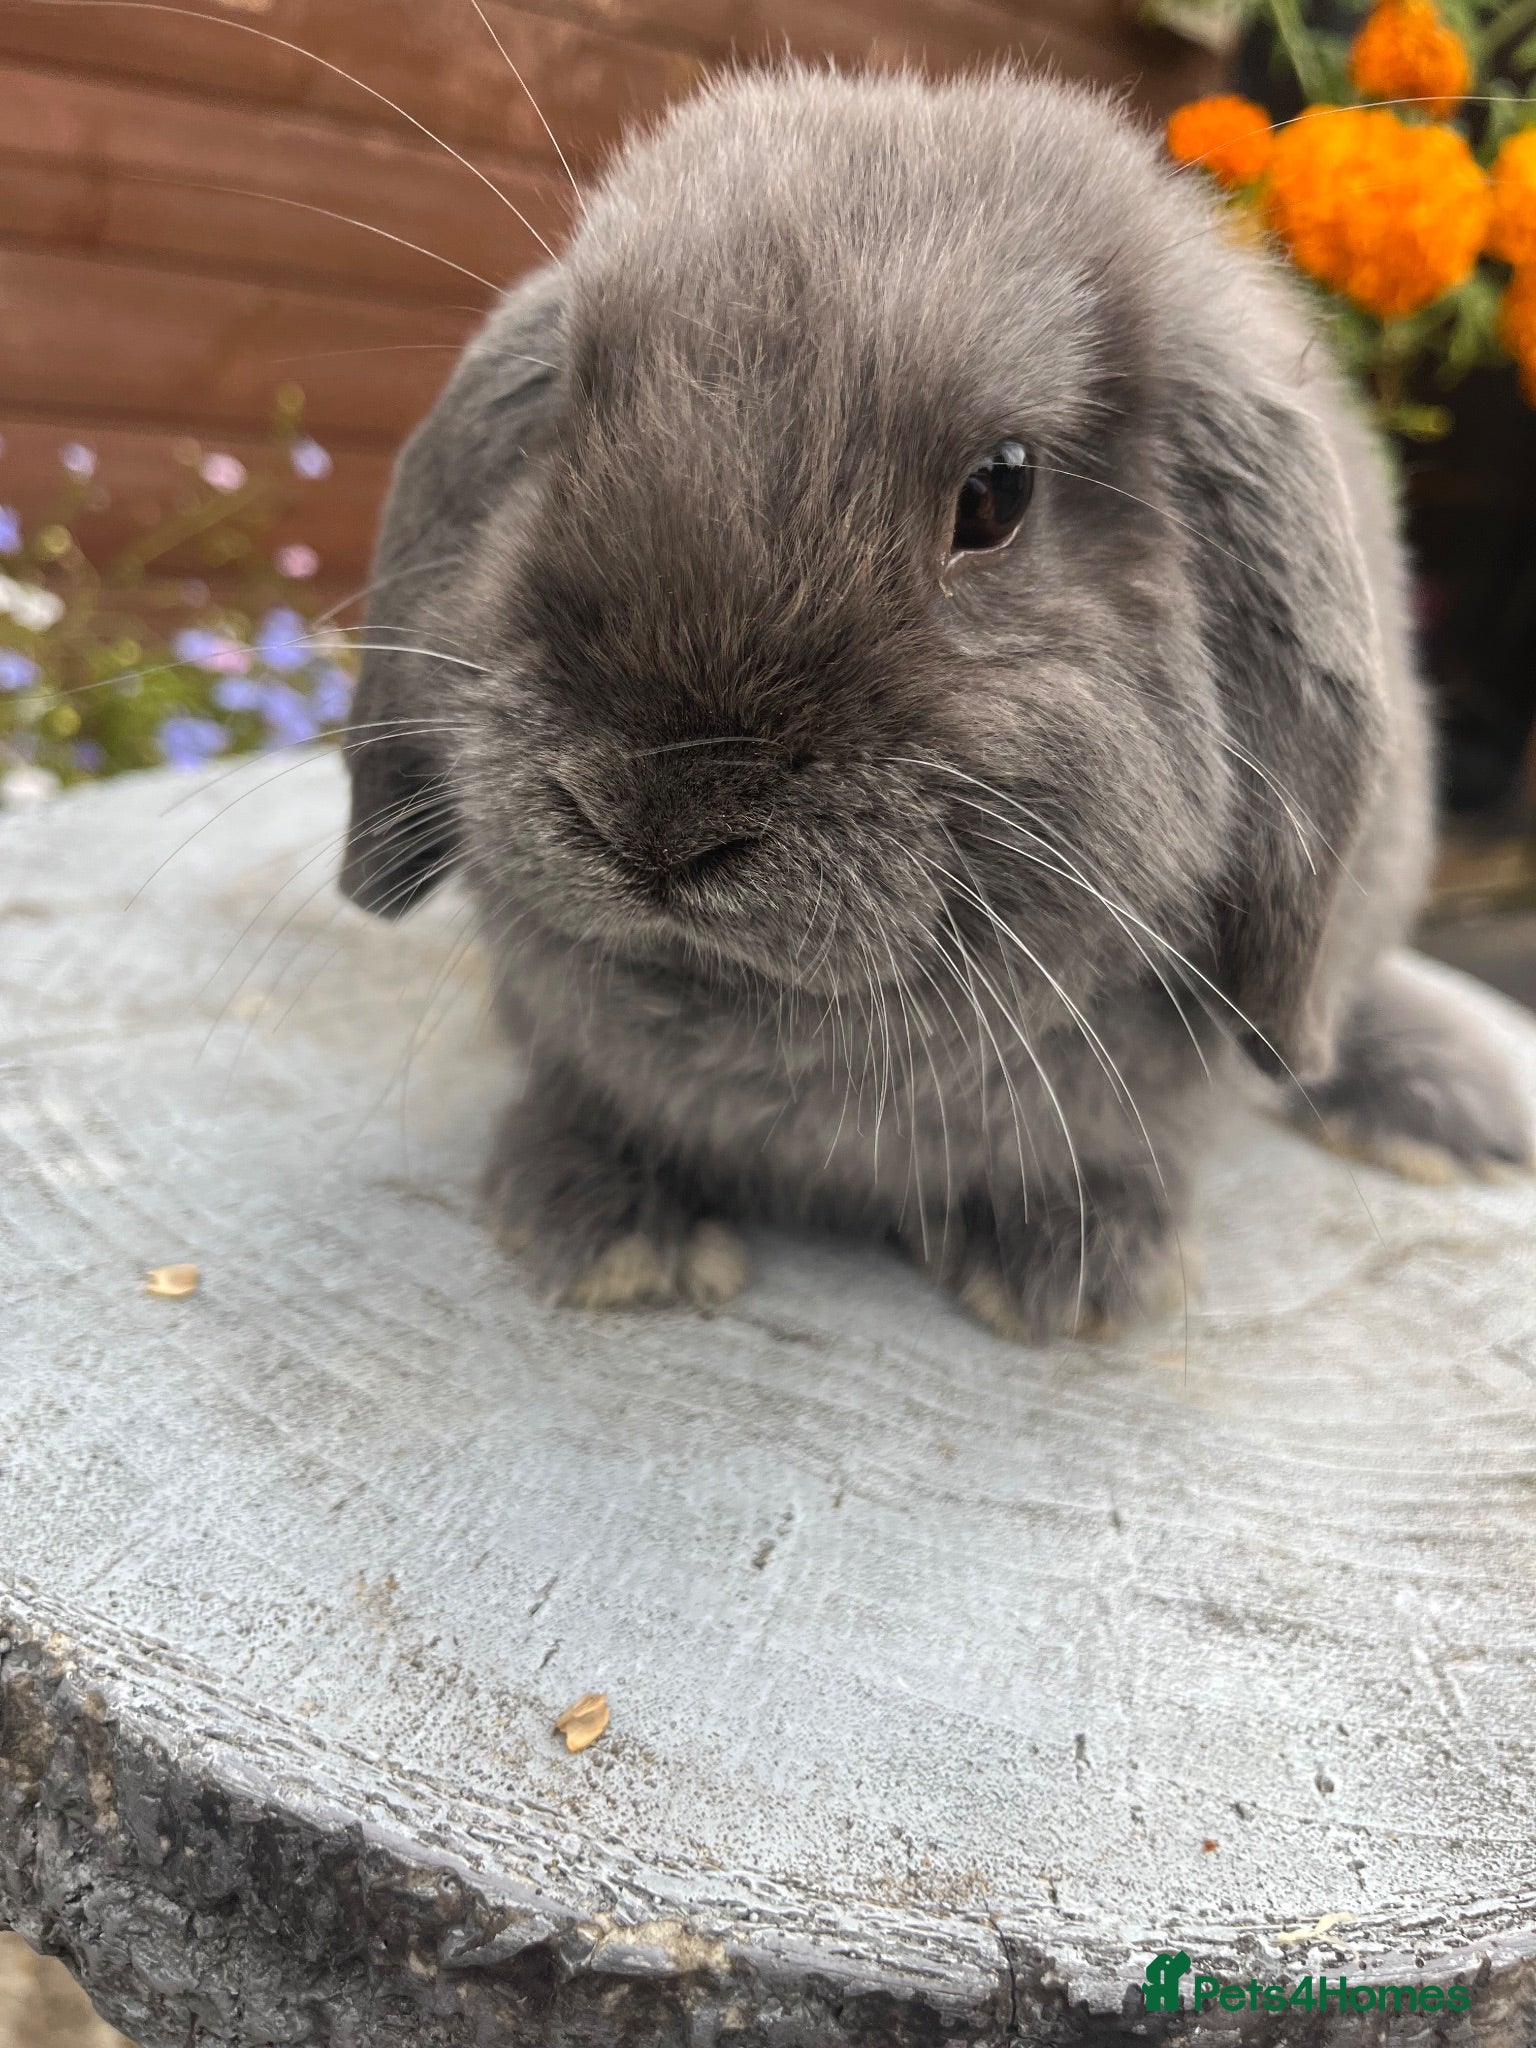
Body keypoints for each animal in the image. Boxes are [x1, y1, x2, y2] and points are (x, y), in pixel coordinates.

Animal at [339, 65, 1532, 1343]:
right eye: (562, 423)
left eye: (998, 492)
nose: (652, 816)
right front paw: (605, 1227)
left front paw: (1076, 1272)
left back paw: (1448, 1110)